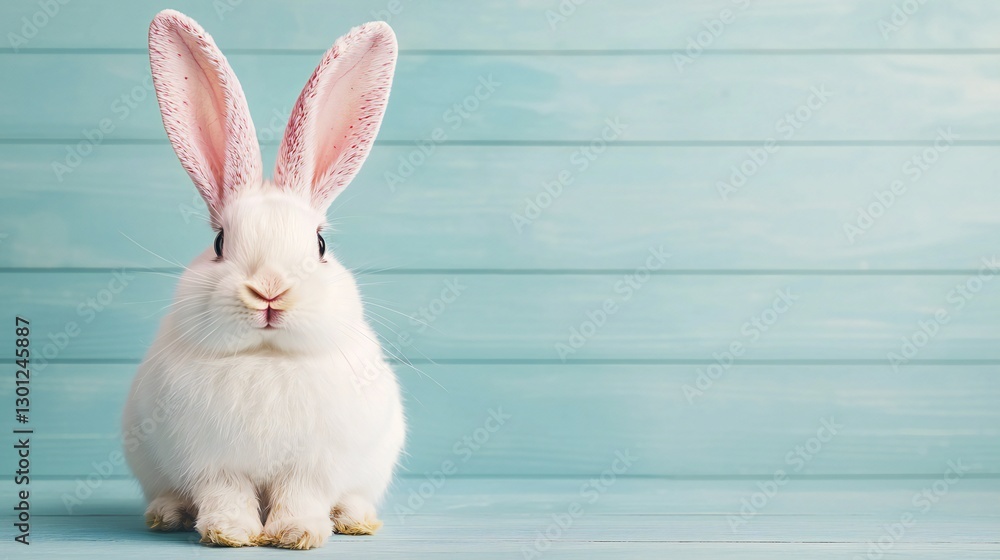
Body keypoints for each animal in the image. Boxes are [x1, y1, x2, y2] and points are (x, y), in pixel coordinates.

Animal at [121, 10, 405, 550]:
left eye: (320, 245)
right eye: (219, 243)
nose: (270, 292)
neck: (266, 359)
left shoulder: (313, 467)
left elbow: (302, 497)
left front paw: (296, 534)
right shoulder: (213, 464)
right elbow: (226, 495)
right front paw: (229, 533)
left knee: (355, 497)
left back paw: (355, 519)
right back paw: (166, 515)